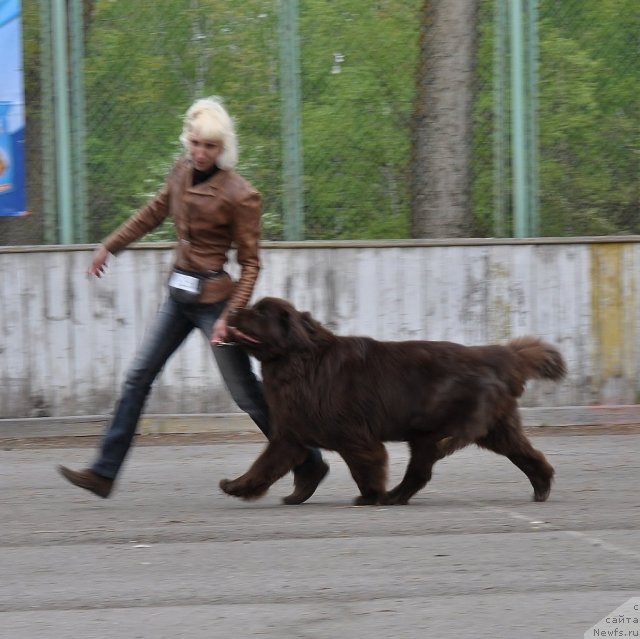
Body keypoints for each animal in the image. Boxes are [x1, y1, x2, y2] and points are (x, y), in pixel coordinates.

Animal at [220, 298, 564, 508]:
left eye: (259, 313)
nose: (232, 311)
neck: (298, 360)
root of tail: (497, 355)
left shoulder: (354, 436)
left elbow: (366, 467)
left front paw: (370, 496)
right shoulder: (290, 434)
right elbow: (264, 465)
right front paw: (237, 486)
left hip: (440, 426)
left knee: (447, 447)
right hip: (492, 430)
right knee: (527, 456)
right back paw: (541, 487)